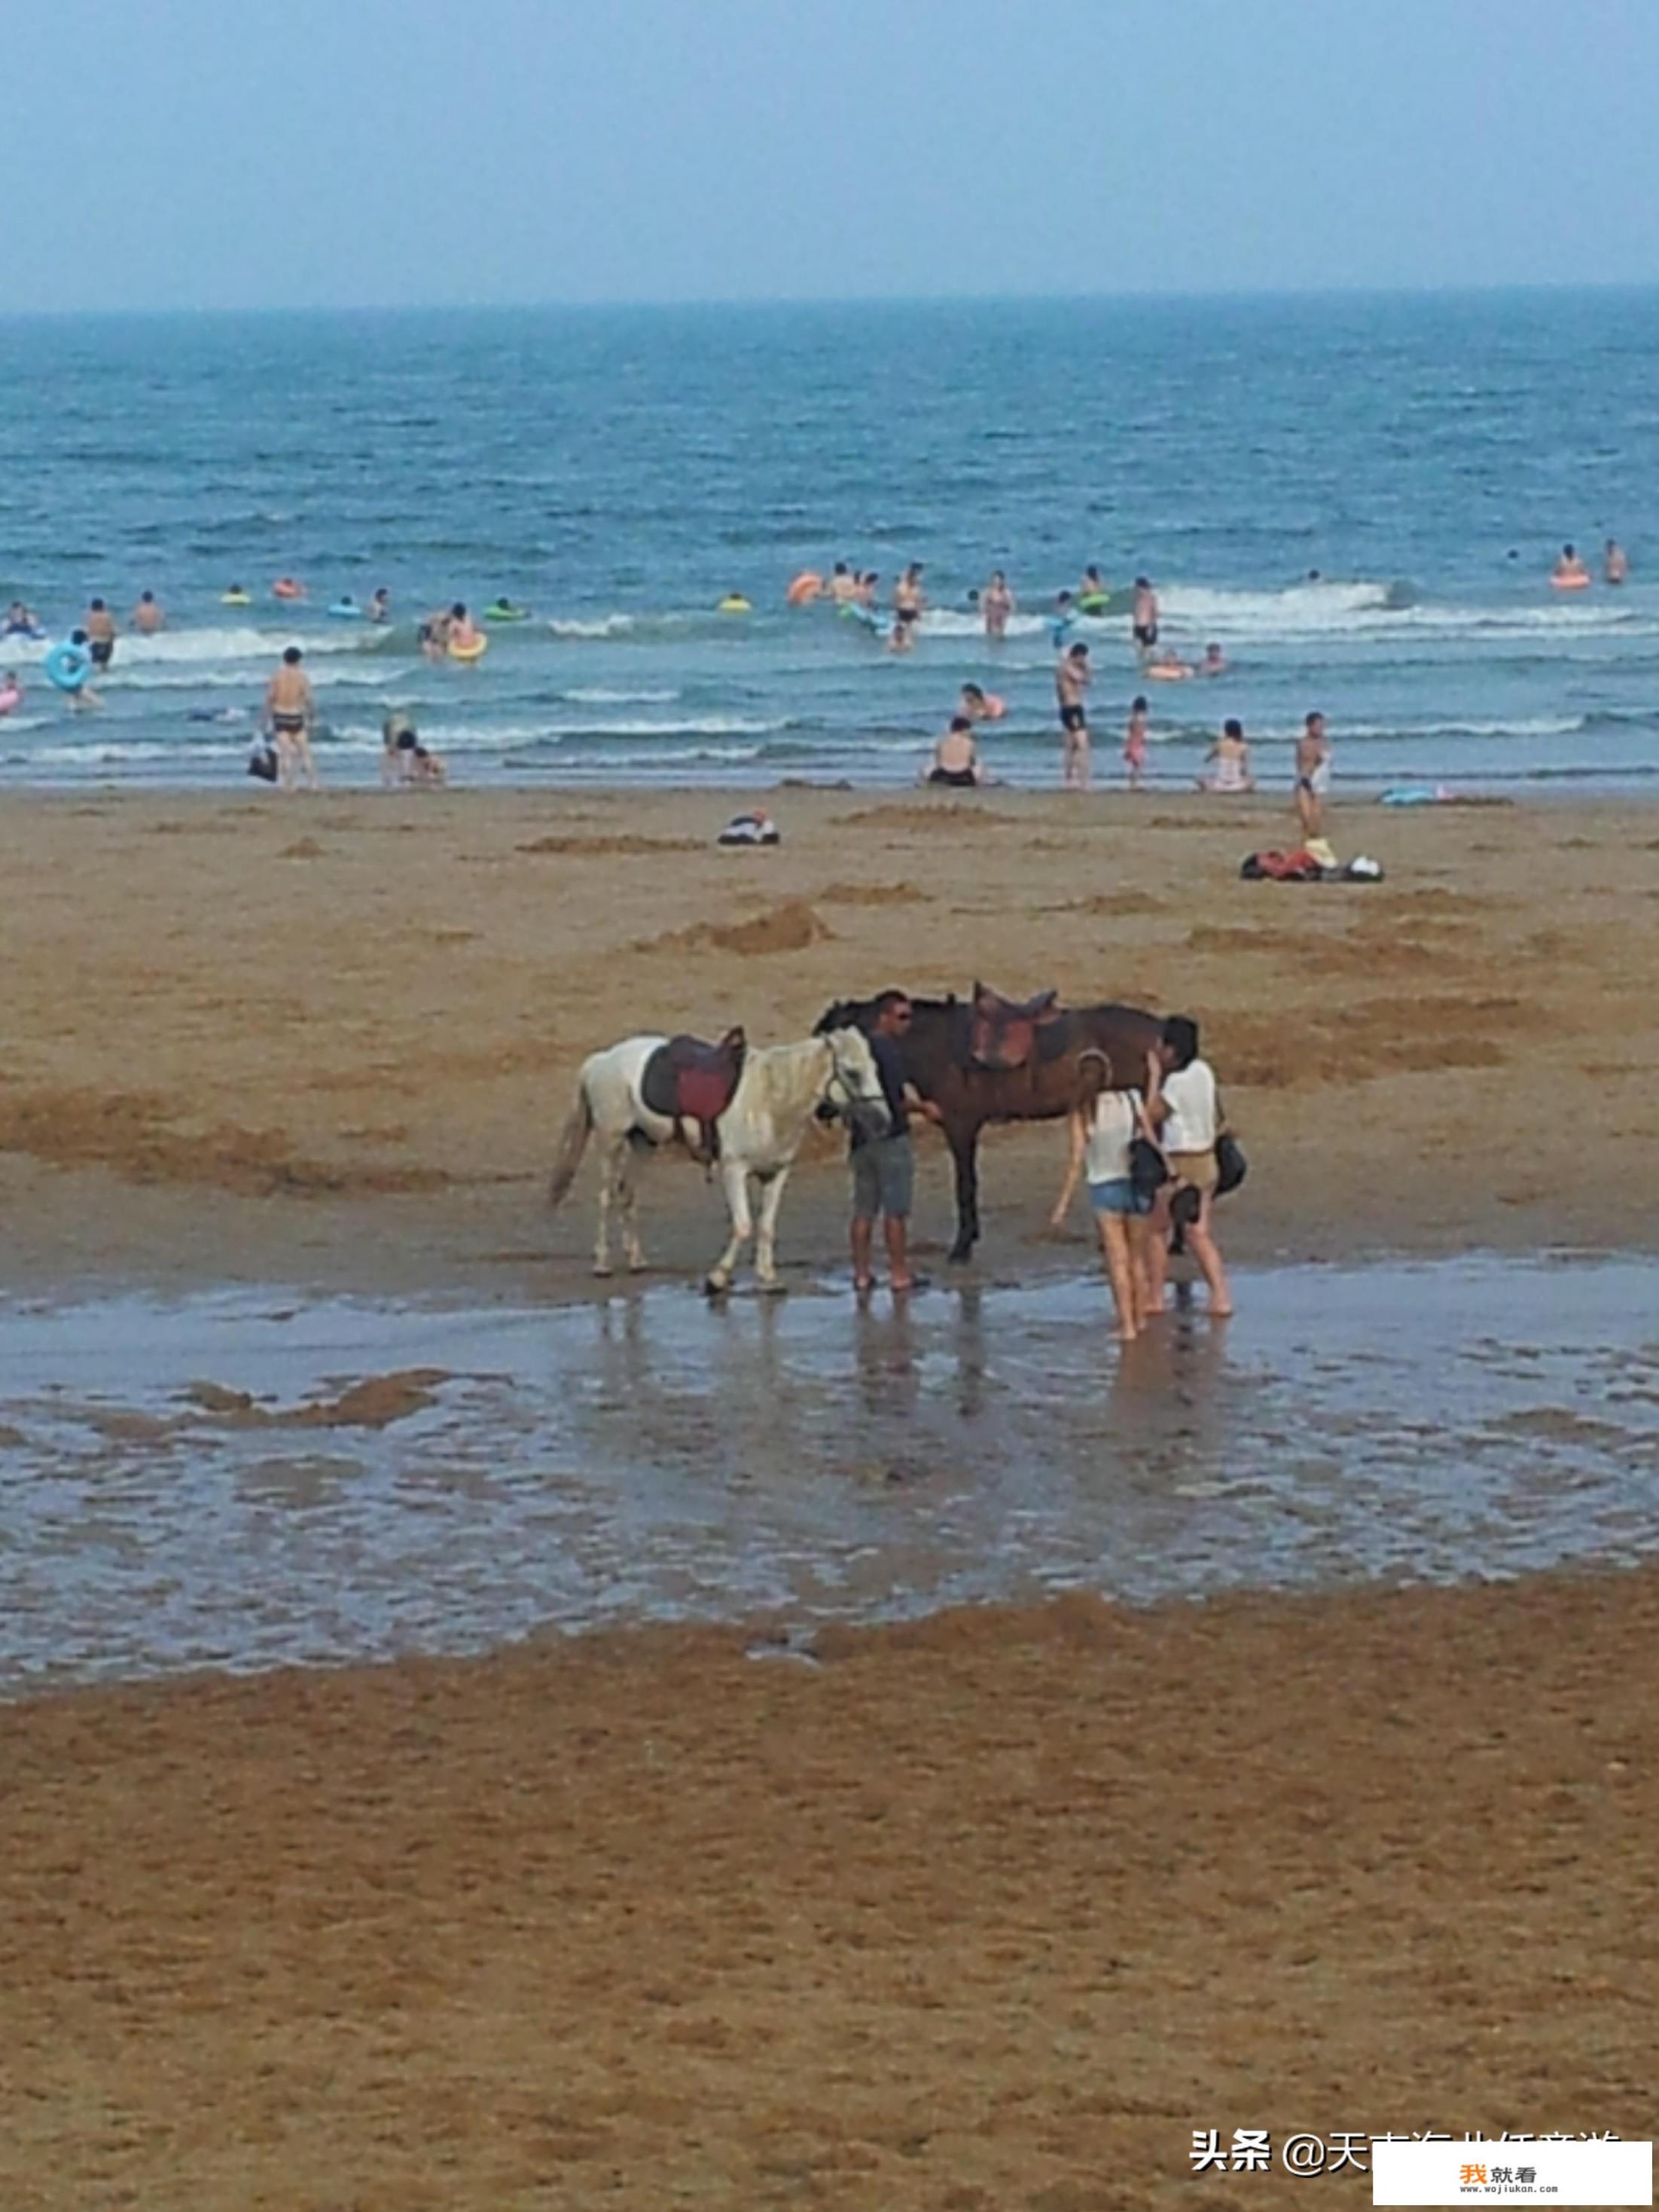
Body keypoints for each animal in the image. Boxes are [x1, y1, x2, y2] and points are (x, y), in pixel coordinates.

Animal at [548, 1021, 889, 1292]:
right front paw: (718, 1278)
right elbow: (744, 1225)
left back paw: (636, 1260)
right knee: (606, 1196)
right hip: (612, 1140)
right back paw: (602, 1264)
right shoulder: (734, 1171)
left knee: (627, 1194)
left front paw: (768, 1279)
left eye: (874, 1067)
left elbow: (766, 1227)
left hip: (643, 1143)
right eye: (852, 1073)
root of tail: (602, 1060)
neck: (769, 1101)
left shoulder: (776, 1173)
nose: (885, 1121)